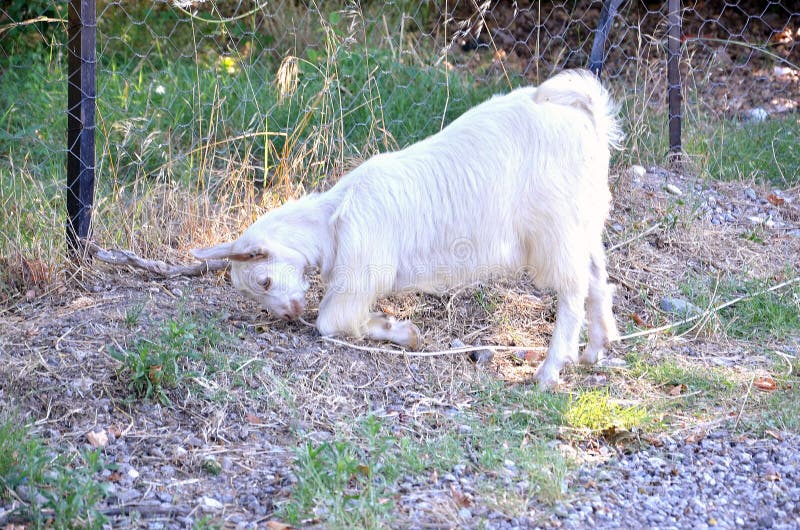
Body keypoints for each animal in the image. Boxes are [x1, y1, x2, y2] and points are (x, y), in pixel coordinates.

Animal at [192, 69, 622, 388]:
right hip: (584, 220)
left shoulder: (360, 273)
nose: (286, 313)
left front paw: (395, 329)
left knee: (573, 290)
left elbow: (331, 322)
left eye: (263, 280)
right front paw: (397, 328)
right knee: (597, 278)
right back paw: (596, 349)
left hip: (555, 228)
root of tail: (585, 114)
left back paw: (550, 371)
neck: (333, 219)